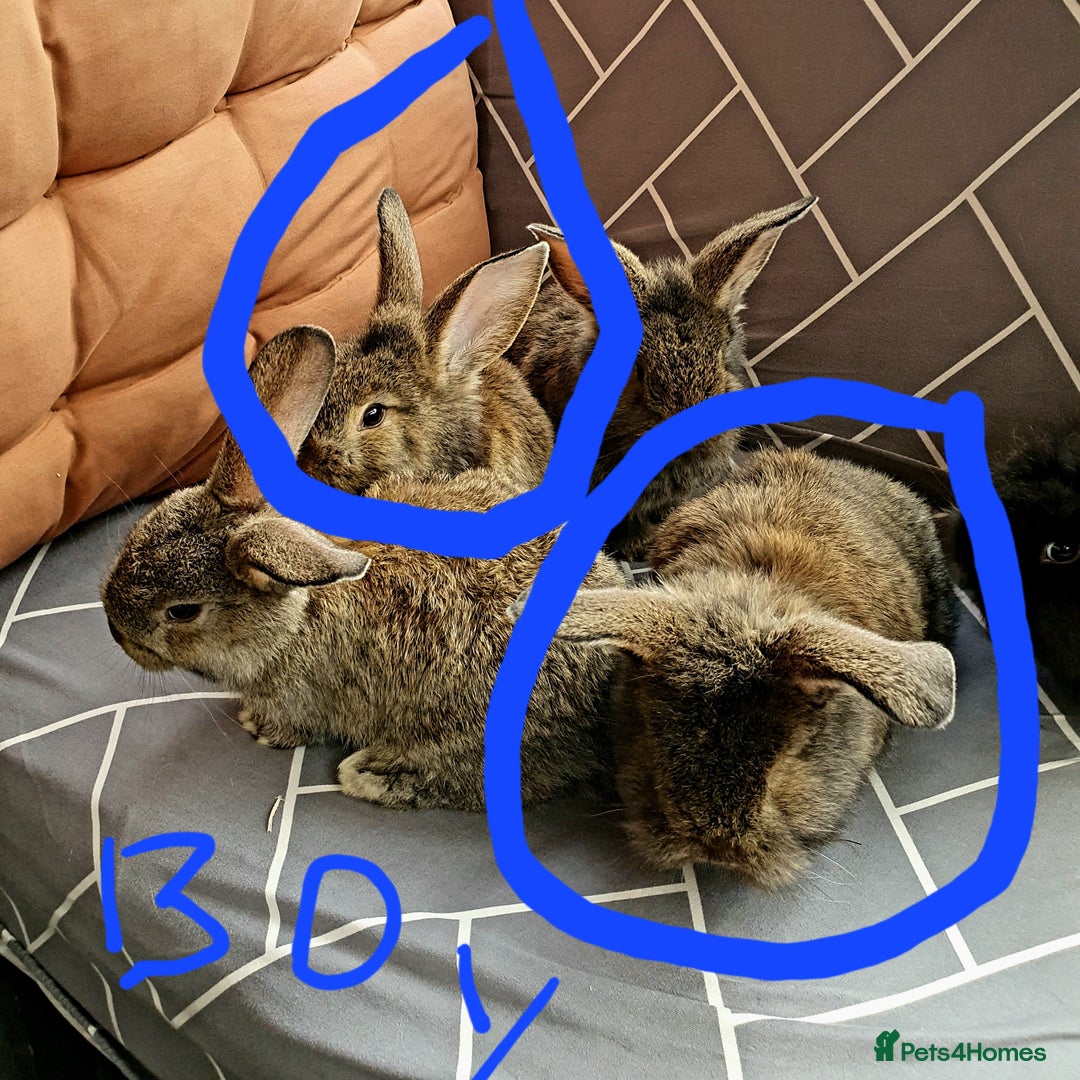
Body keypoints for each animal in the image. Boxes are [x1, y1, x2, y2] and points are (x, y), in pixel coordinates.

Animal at [101, 325, 627, 812]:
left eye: (182, 612)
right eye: (138, 532)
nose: (115, 631)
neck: (295, 619)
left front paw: (257, 726)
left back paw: (371, 773)